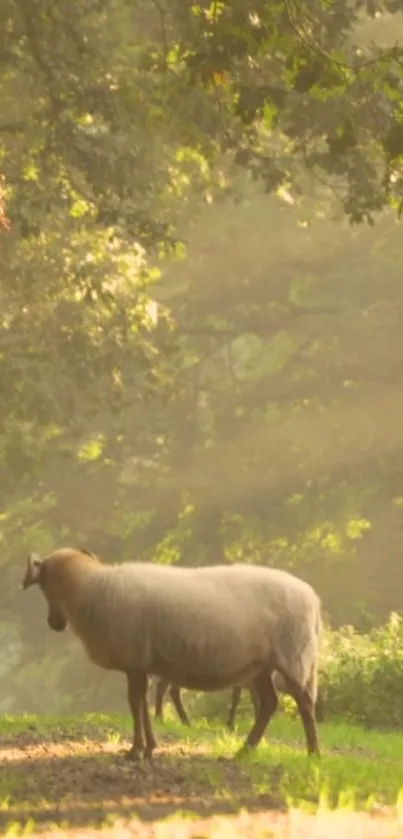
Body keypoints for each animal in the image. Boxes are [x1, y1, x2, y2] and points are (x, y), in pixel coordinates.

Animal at [22, 548, 326, 764]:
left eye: (43, 585)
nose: (54, 624)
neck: (91, 588)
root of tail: (312, 597)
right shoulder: (141, 663)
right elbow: (142, 704)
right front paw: (149, 748)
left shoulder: (134, 660)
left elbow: (135, 703)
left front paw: (136, 750)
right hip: (261, 665)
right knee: (270, 703)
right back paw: (245, 750)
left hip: (293, 657)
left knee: (304, 704)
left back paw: (313, 753)